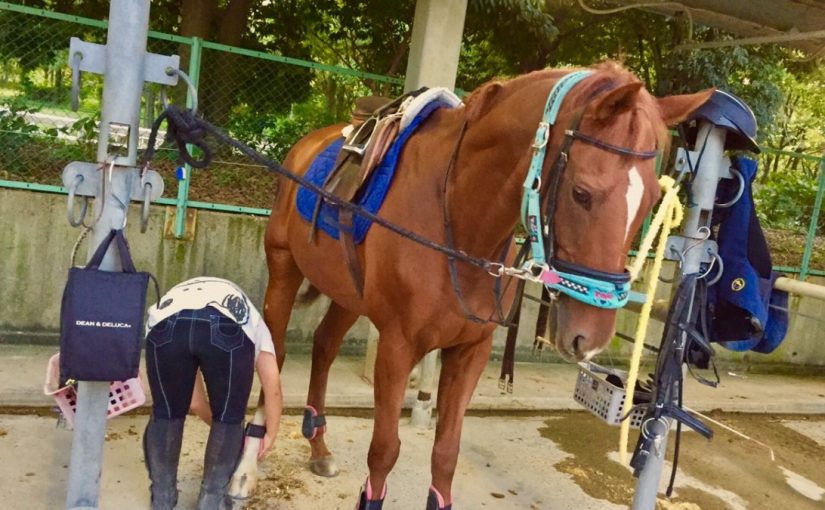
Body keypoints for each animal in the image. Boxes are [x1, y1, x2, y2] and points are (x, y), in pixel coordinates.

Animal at [240, 62, 712, 509]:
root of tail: (306, 146)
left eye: (650, 202)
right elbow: (384, 451)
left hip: (348, 295)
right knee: (277, 350)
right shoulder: (397, 347)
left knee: (323, 346)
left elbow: (446, 454)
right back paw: (252, 457)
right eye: (582, 193)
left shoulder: (470, 351)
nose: (591, 339)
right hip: (284, 268)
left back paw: (318, 446)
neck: (458, 219)